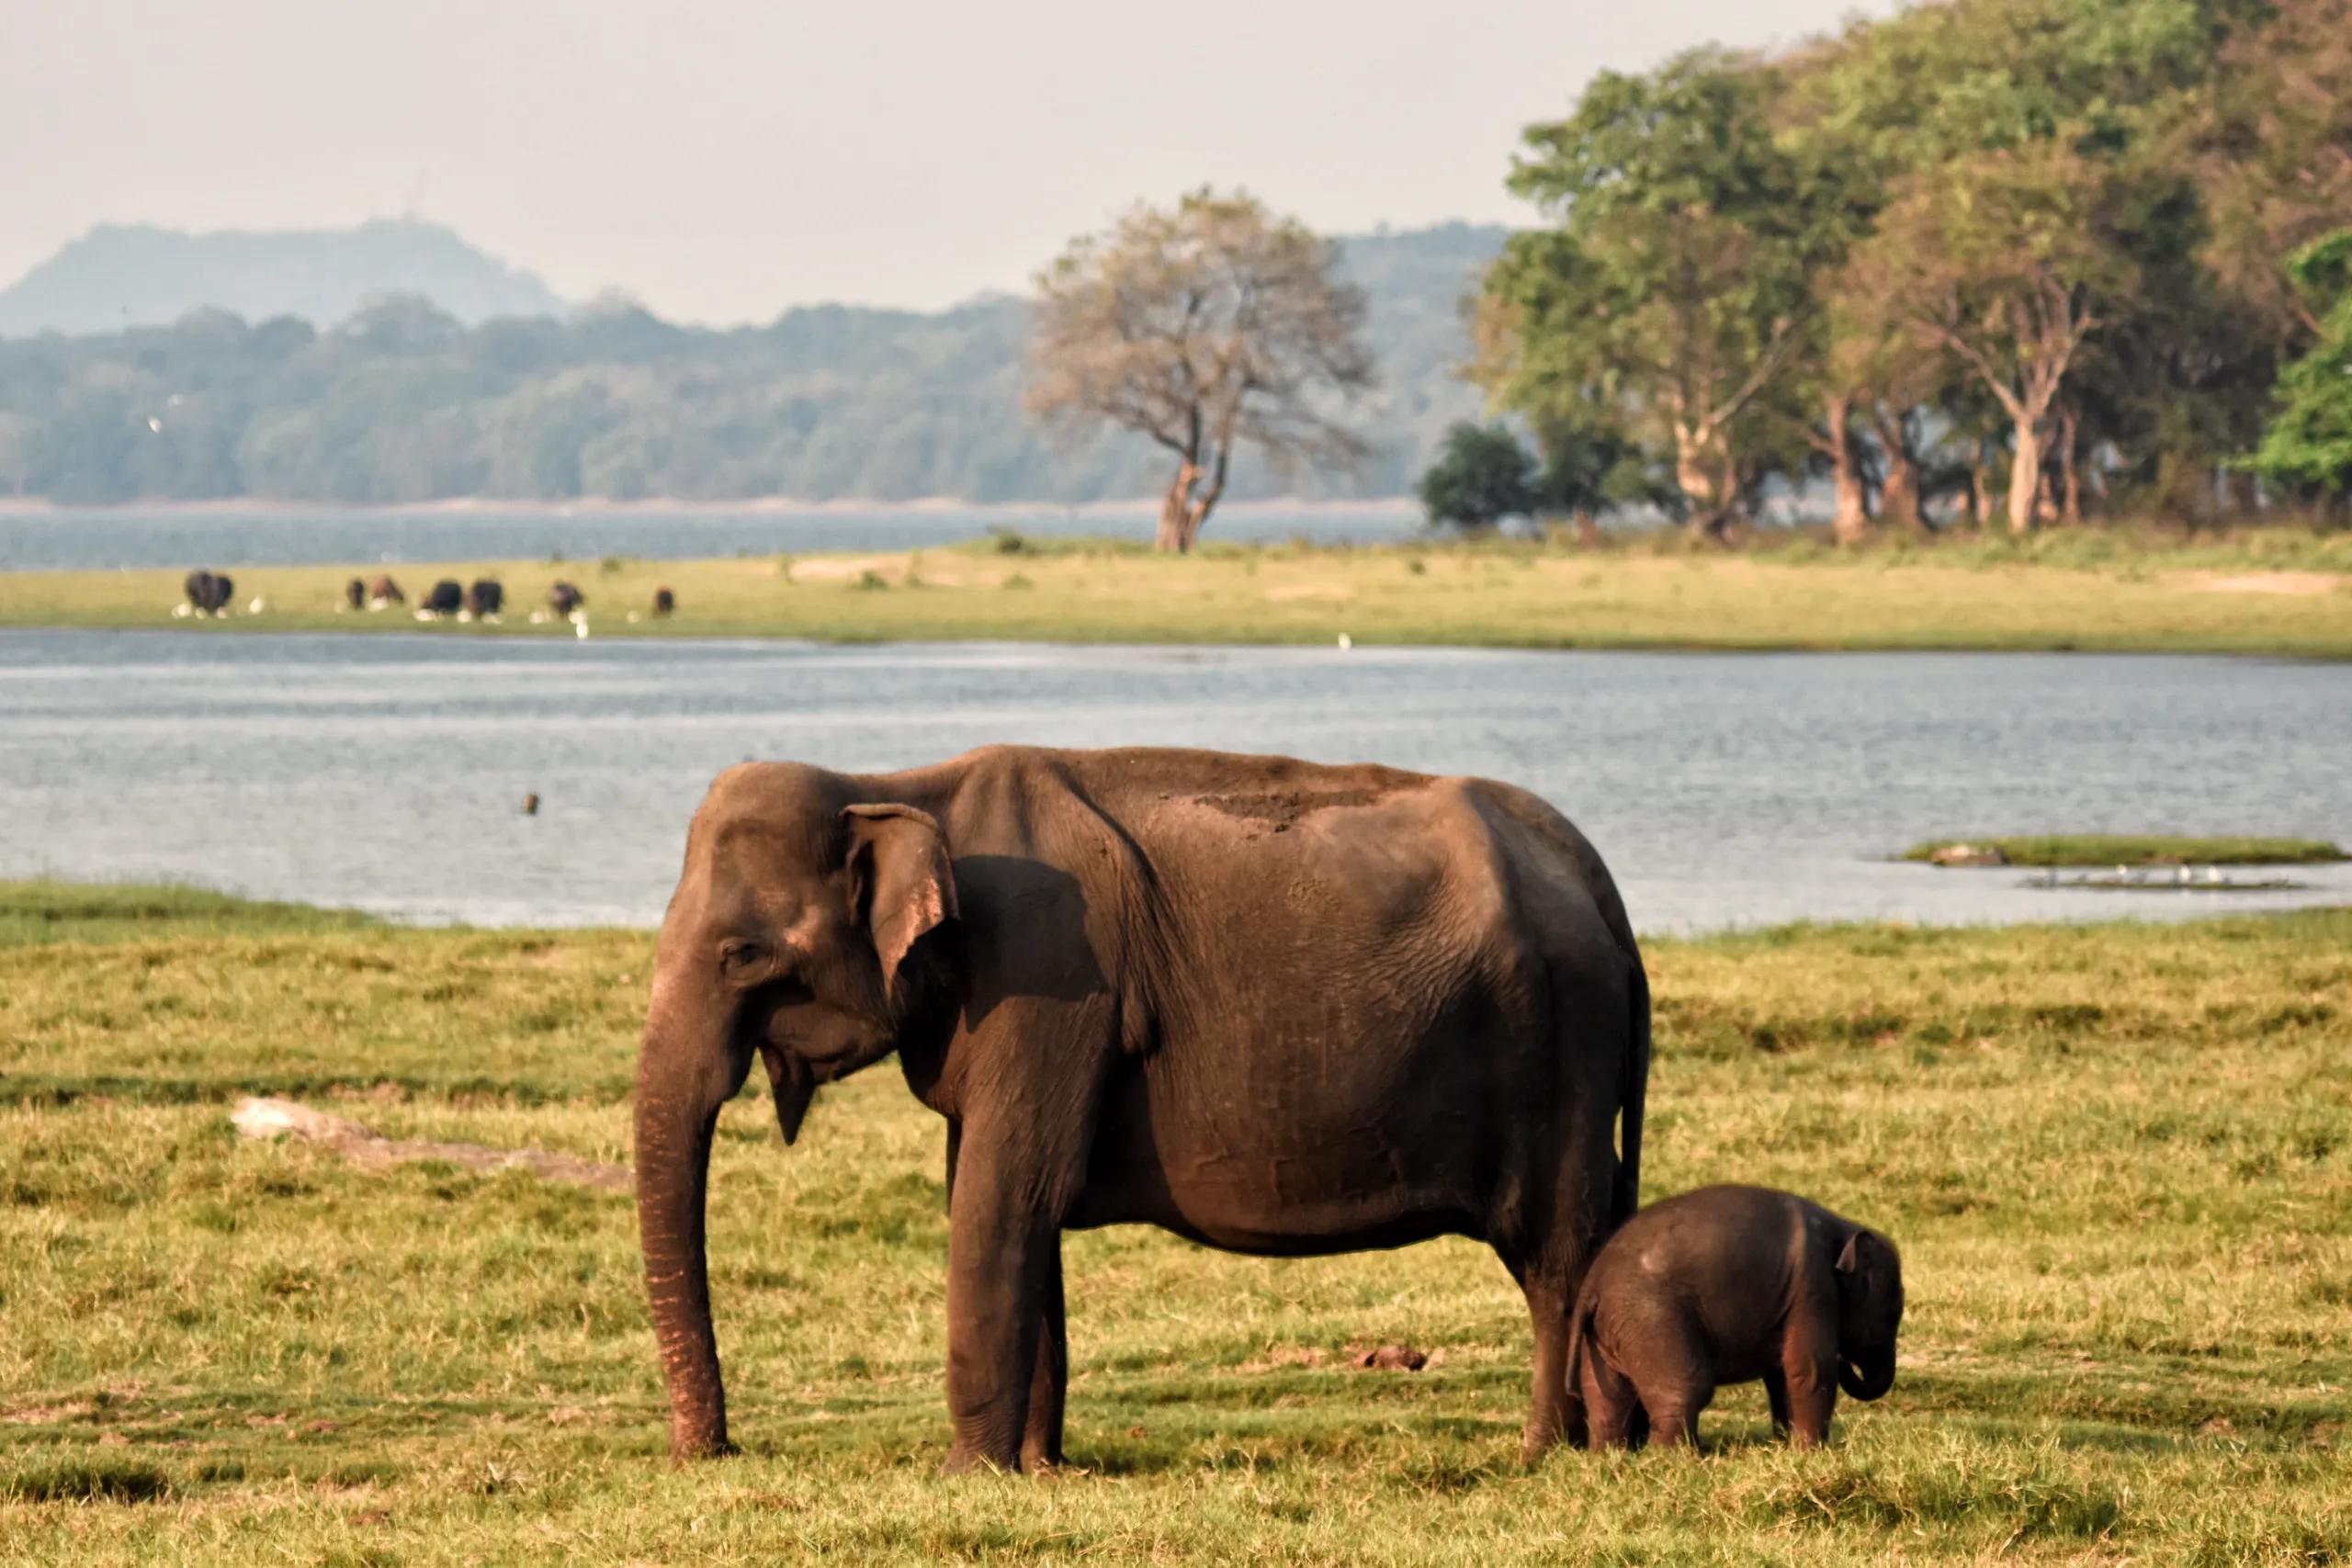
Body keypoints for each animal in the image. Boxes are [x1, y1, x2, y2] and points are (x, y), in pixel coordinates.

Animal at [634, 746, 1650, 1472]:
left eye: (741, 956)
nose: (710, 1455)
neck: (900, 785)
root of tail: (1597, 877)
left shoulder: (1047, 980)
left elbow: (1000, 1203)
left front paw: (966, 1474)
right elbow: (1015, 1207)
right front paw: (1039, 1470)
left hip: (1561, 1045)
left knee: (1555, 1258)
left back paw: (1545, 1454)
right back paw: (1610, 1440)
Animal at [1570, 1185, 1903, 1451]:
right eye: (1894, 1314)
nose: (1846, 1360)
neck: (1843, 1229)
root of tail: (1593, 1281)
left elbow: (1781, 1375)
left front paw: (1788, 1448)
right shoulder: (1813, 1290)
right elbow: (1809, 1369)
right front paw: (1812, 1453)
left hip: (1605, 1332)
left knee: (1604, 1398)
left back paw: (1609, 1458)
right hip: (1652, 1319)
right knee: (1685, 1389)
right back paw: (1676, 1460)